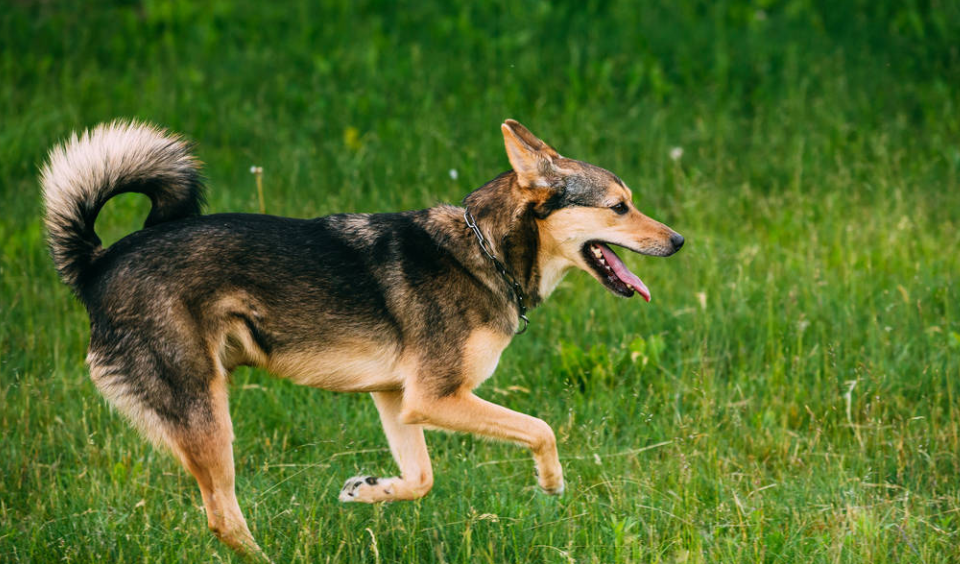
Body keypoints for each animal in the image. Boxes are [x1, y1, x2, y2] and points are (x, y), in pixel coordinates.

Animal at [39, 119, 684, 556]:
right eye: (619, 207)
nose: (679, 241)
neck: (486, 252)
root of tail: (96, 264)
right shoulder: (437, 397)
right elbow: (541, 429)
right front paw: (551, 483)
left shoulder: (398, 399)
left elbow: (421, 480)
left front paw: (369, 490)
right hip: (205, 413)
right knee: (223, 518)